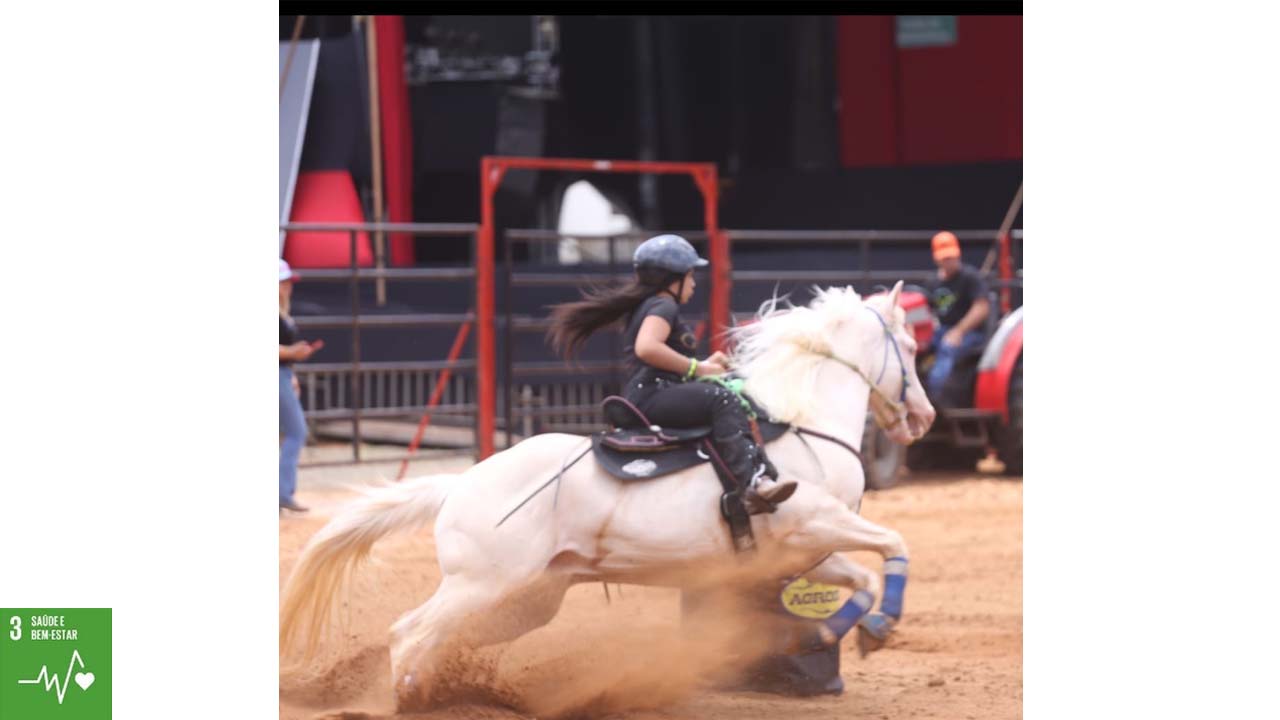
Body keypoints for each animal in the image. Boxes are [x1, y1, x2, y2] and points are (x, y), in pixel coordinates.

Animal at [282, 280, 942, 707]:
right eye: (911, 348)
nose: (925, 418)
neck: (805, 423)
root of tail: (462, 482)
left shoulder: (806, 550)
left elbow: (864, 576)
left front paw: (846, 632)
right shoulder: (816, 523)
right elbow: (894, 546)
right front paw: (877, 625)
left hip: (525, 599)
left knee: (434, 641)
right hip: (479, 585)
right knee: (409, 635)